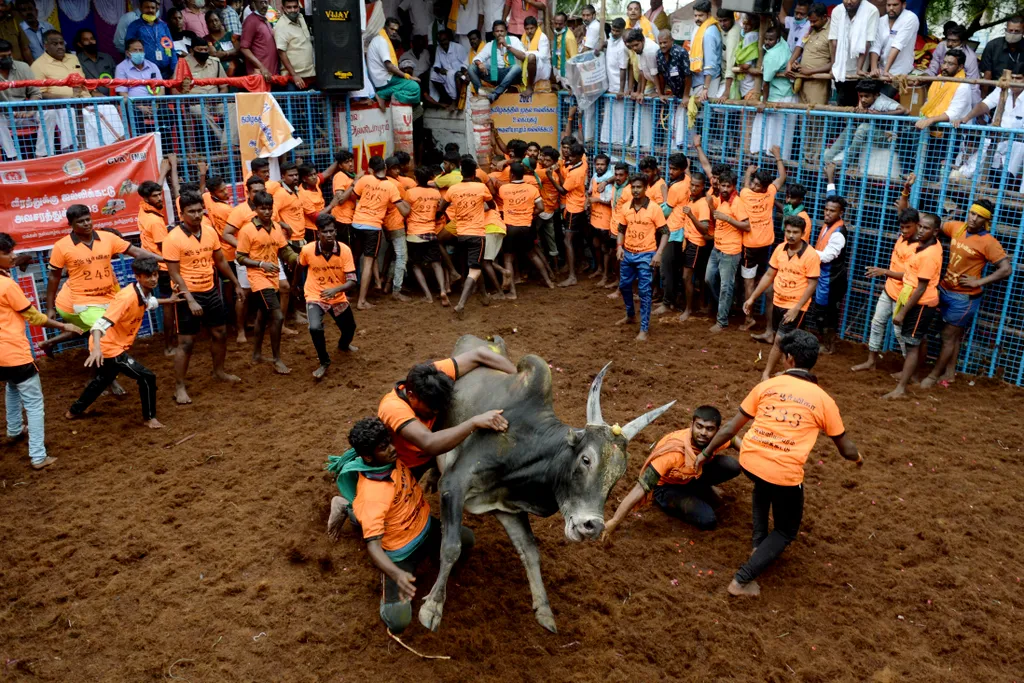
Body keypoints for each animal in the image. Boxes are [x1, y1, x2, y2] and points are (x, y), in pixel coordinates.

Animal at [419, 335, 675, 634]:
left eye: (619, 475)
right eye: (586, 459)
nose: (592, 527)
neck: (526, 445)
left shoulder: (506, 507)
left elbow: (530, 552)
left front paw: (543, 610)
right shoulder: (454, 484)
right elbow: (451, 547)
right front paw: (432, 607)